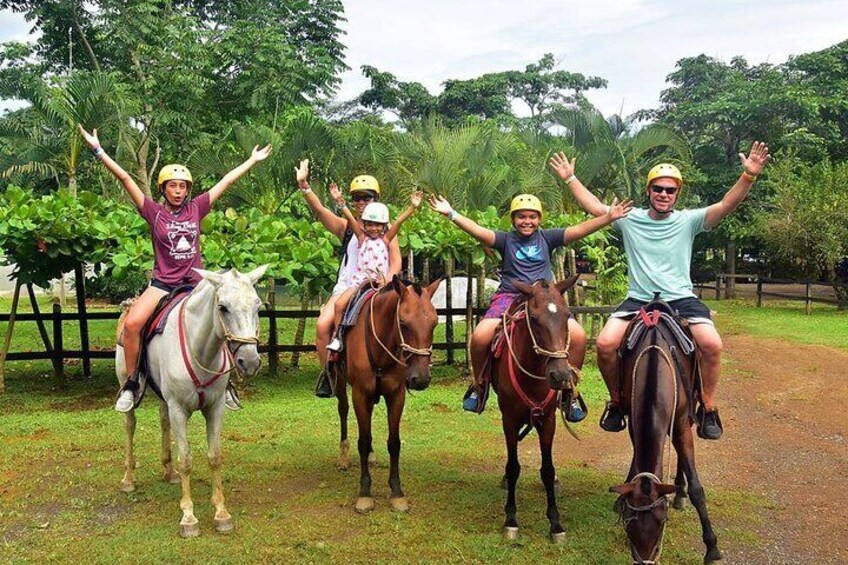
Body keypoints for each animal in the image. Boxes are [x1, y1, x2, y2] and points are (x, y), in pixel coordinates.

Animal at [116, 266, 266, 536]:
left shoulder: (214, 409)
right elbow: (186, 459)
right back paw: (129, 479)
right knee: (129, 426)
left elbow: (215, 456)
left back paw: (169, 472)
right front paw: (188, 518)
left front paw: (222, 514)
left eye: (257, 305)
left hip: (164, 398)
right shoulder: (179, 409)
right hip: (128, 384)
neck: (201, 349)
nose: (249, 362)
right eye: (223, 307)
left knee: (163, 422)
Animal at [332, 276, 438, 512]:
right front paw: (365, 493)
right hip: (340, 382)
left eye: (435, 323)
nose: (421, 379)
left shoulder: (396, 394)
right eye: (404, 324)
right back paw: (342, 457)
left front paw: (397, 492)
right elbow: (363, 441)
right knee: (343, 410)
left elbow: (394, 442)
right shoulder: (360, 394)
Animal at [494, 276, 580, 540]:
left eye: (567, 315)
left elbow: (548, 470)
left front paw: (555, 523)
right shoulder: (509, 420)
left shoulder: (548, 420)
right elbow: (513, 467)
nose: (560, 376)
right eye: (533, 318)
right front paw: (511, 519)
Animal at [608, 298, 724, 560]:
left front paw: (711, 547)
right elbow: (636, 462)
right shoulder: (634, 422)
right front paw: (621, 499)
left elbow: (697, 489)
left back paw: (680, 492)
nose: (645, 560)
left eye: (661, 522)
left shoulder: (680, 422)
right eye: (629, 523)